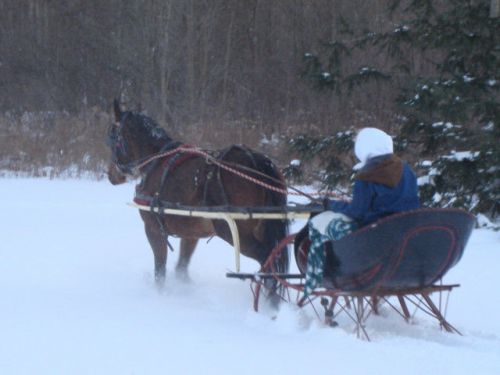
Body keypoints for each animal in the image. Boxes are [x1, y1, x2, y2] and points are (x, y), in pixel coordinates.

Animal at [107, 98, 292, 298]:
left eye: (112, 138)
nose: (110, 175)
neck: (157, 160)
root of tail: (258, 164)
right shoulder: (191, 233)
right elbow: (181, 267)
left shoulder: (153, 229)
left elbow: (160, 271)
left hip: (233, 232)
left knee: (267, 259)